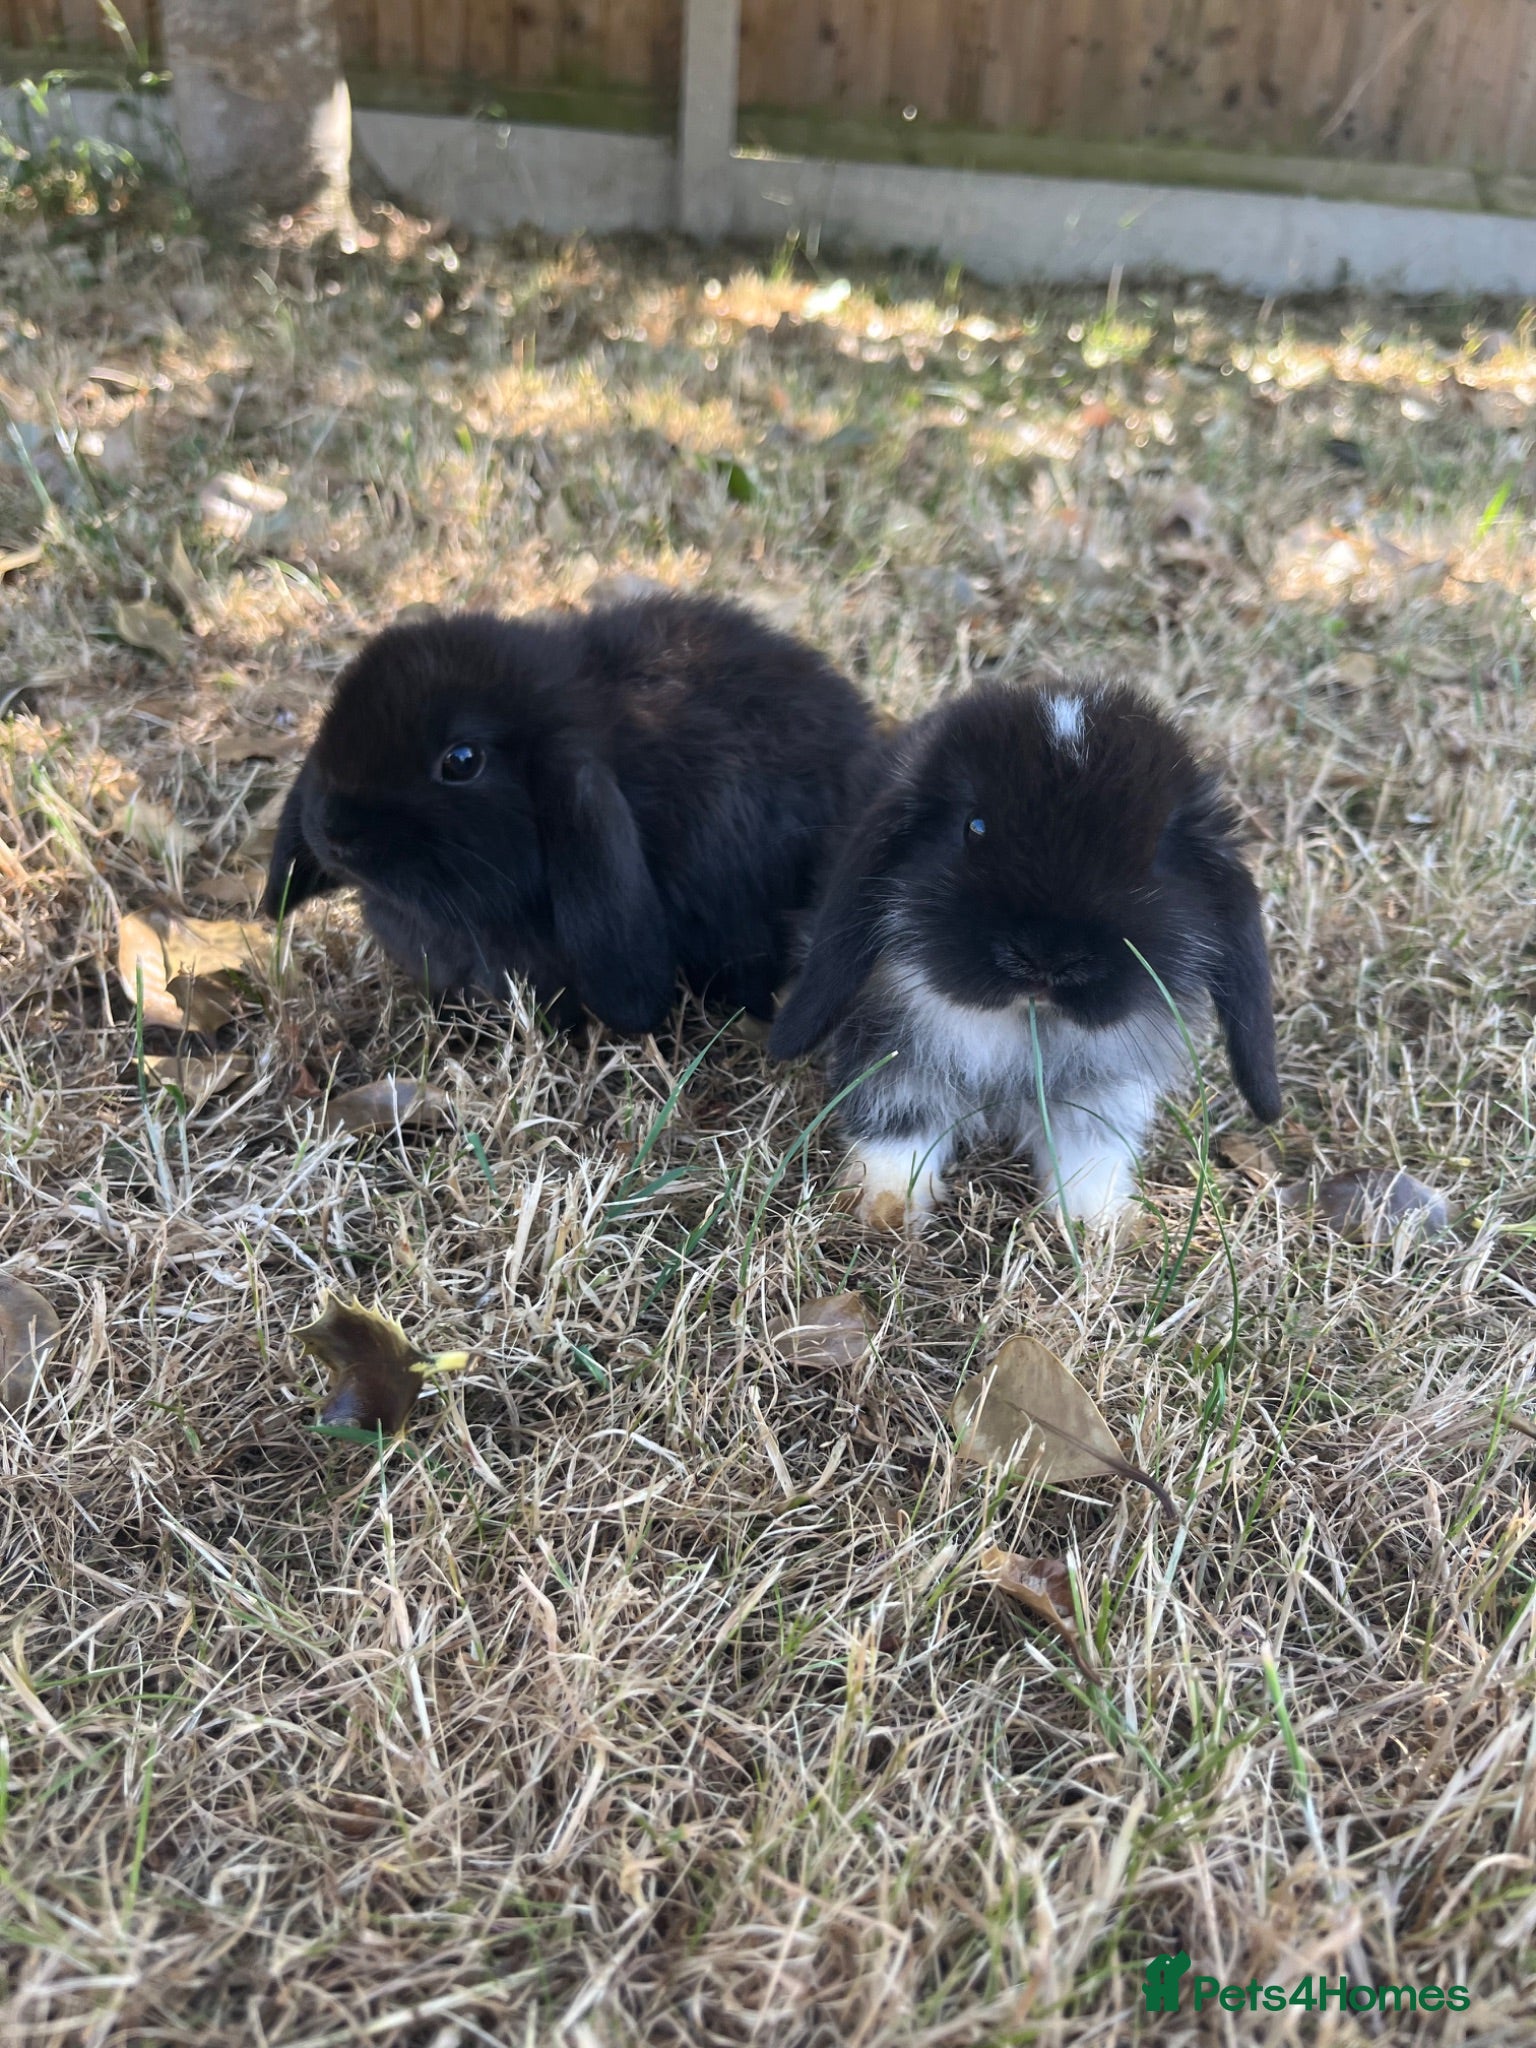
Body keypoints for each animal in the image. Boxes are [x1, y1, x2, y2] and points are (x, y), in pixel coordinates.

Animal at [768, 677, 1281, 1231]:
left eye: (1153, 854)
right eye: (974, 827)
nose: (1046, 957)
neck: (1026, 1022)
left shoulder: (1106, 1085)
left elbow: (1089, 1144)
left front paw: (1098, 1221)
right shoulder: (891, 1040)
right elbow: (900, 1116)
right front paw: (885, 1205)